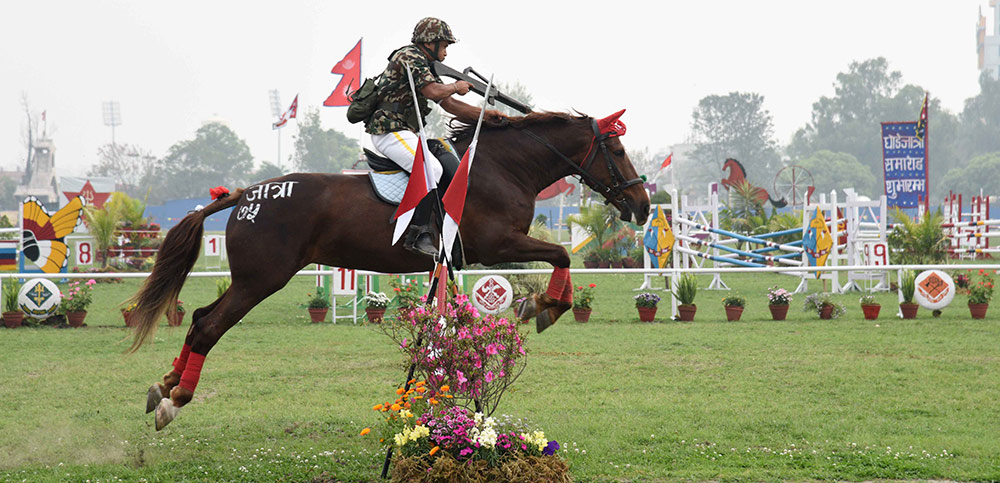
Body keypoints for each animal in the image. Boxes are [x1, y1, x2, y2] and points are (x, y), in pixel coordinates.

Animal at [129, 110, 652, 432]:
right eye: (618, 152)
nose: (643, 206)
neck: (503, 167)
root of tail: (243, 195)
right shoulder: (497, 245)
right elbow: (562, 254)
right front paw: (545, 305)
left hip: (251, 280)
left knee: (199, 318)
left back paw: (164, 385)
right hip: (262, 280)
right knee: (209, 327)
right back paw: (176, 398)